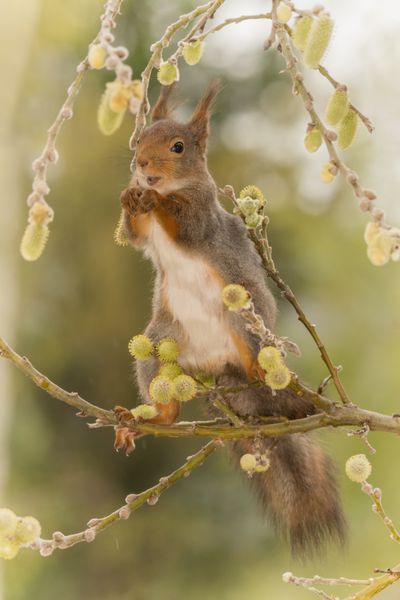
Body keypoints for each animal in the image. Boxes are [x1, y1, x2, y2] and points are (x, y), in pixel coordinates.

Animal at [118, 82, 344, 556]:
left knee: (255, 357)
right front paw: (130, 198)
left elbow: (183, 221)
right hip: (158, 344)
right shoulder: (144, 237)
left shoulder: (200, 215)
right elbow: (135, 235)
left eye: (178, 146)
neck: (178, 183)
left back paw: (260, 371)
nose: (142, 168)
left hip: (244, 319)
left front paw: (154, 199)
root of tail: (216, 365)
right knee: (166, 402)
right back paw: (153, 418)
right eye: (137, 141)